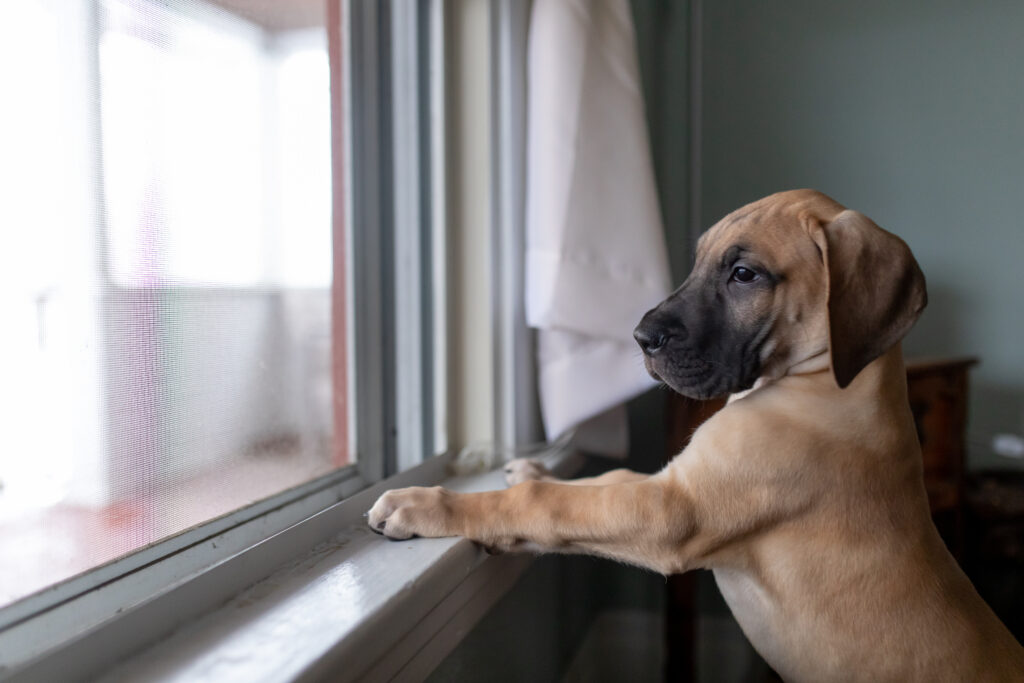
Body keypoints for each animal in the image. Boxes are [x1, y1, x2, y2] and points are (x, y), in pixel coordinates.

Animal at [368, 189, 1024, 679]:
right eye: (699, 263)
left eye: (743, 274)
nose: (640, 336)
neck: (833, 384)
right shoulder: (671, 480)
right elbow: (600, 478)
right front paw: (530, 466)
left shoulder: (671, 511)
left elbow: (548, 504)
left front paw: (426, 502)